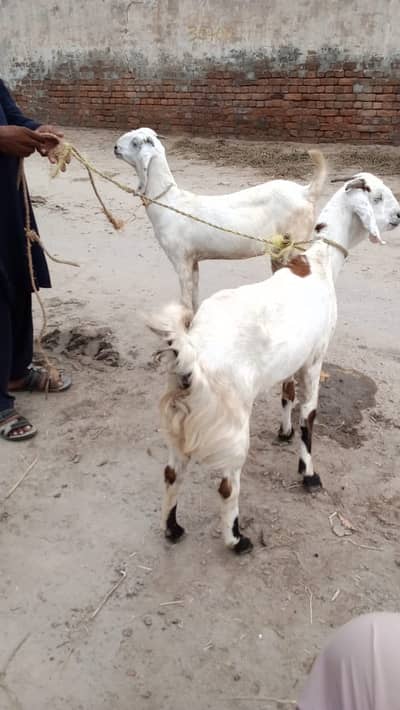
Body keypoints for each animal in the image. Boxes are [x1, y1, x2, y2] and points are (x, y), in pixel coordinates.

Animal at [114, 127, 326, 311]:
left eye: (135, 142)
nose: (115, 147)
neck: (170, 202)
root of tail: (305, 192)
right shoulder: (193, 260)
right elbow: (194, 295)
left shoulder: (180, 258)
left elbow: (185, 301)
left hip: (296, 242)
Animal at [149, 173, 400, 554]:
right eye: (380, 197)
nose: (399, 217)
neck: (319, 264)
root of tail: (193, 354)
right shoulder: (315, 356)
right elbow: (310, 412)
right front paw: (309, 474)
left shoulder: (294, 357)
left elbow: (287, 391)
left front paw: (284, 433)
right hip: (233, 423)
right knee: (227, 486)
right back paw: (237, 539)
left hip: (179, 422)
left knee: (171, 474)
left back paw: (173, 528)